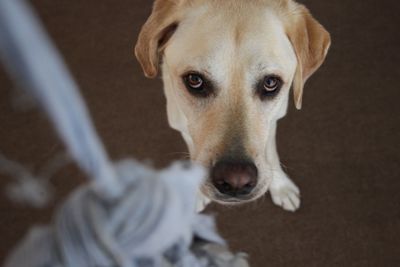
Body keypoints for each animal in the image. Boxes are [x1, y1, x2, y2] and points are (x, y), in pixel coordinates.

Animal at [136, 0, 330, 213]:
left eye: (270, 83)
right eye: (195, 80)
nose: (236, 181)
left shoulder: (273, 120)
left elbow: (270, 153)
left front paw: (281, 186)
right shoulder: (182, 123)